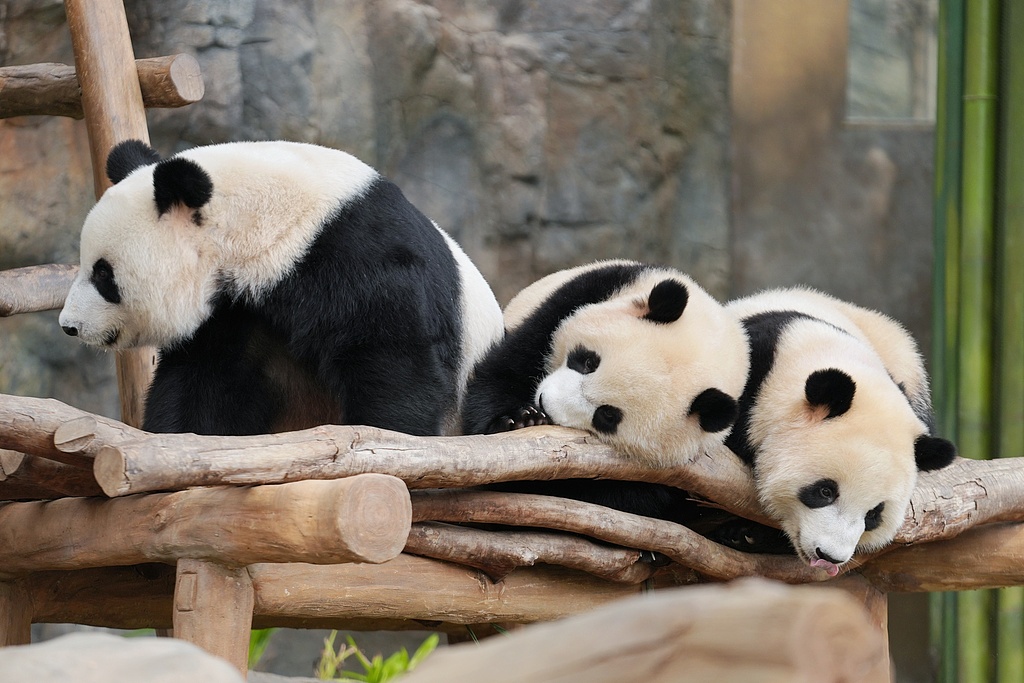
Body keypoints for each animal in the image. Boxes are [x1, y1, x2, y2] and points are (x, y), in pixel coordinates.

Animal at [59, 139, 504, 437]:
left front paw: (388, 432)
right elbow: (203, 382)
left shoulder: (358, 255)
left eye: (103, 274)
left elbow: (393, 356)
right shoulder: (231, 309)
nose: (69, 326)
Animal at [460, 260, 750, 523]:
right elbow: (508, 366)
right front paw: (519, 419)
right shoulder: (587, 293)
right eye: (589, 361)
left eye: (607, 415)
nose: (544, 403)